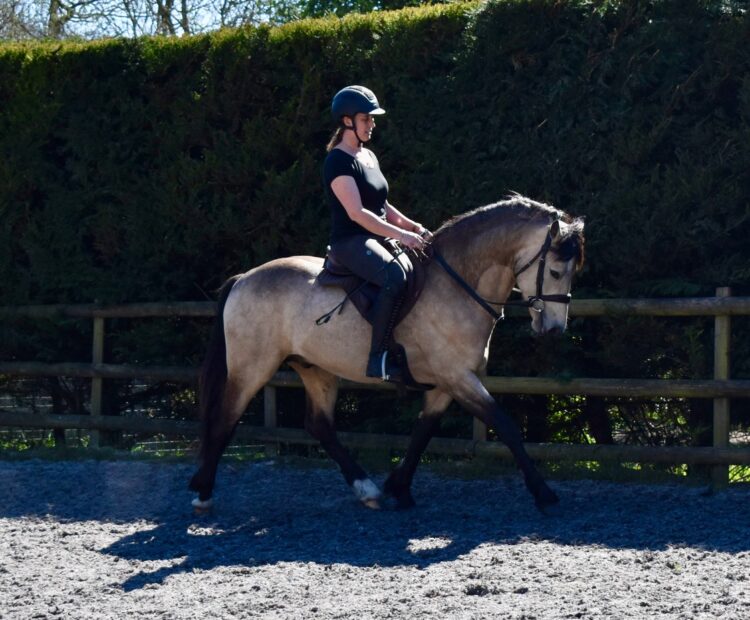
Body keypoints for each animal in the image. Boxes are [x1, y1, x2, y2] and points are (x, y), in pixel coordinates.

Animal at [189, 195, 585, 513]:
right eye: (555, 271)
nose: (554, 329)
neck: (456, 286)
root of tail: (243, 278)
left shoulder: (447, 382)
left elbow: (423, 432)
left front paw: (400, 487)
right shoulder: (458, 377)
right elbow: (504, 425)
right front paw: (544, 494)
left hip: (316, 368)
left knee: (320, 425)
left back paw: (366, 488)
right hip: (252, 367)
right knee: (226, 418)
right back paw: (203, 494)